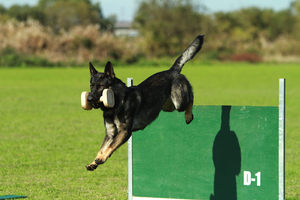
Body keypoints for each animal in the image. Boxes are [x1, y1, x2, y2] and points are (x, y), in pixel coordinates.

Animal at [85, 34, 205, 170]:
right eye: (91, 85)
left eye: (101, 86)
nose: (89, 99)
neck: (117, 104)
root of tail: (172, 71)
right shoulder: (110, 133)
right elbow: (102, 148)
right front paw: (94, 162)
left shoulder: (124, 132)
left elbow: (110, 146)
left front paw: (101, 159)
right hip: (167, 107)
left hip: (179, 102)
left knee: (191, 97)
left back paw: (189, 116)